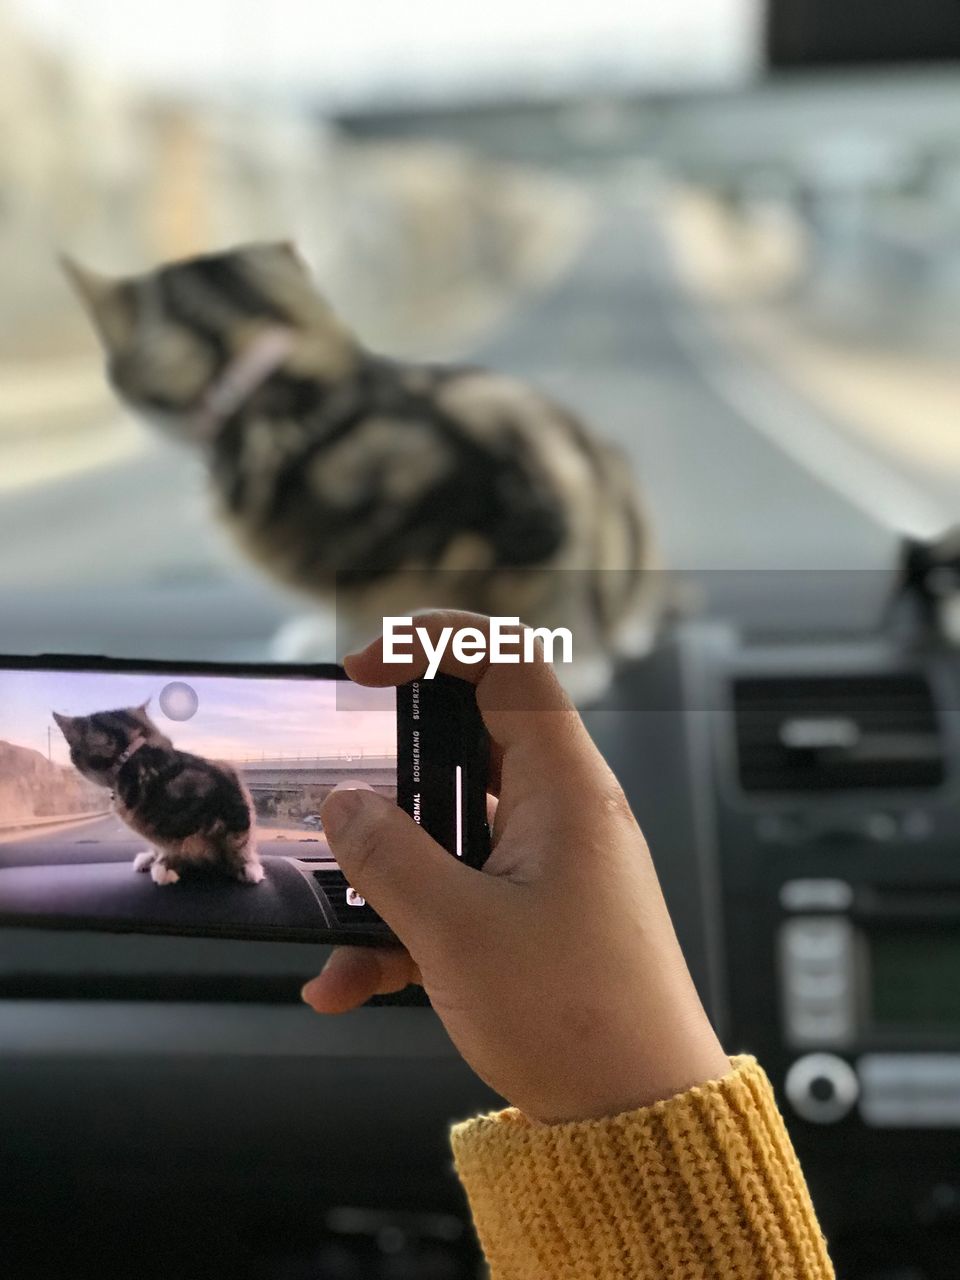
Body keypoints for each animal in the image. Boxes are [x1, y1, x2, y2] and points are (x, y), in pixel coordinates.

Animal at [52, 701, 263, 890]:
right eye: (164, 740)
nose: (169, 745)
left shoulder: (229, 791)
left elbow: (236, 841)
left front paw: (247, 867)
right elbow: (169, 843)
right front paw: (164, 861)